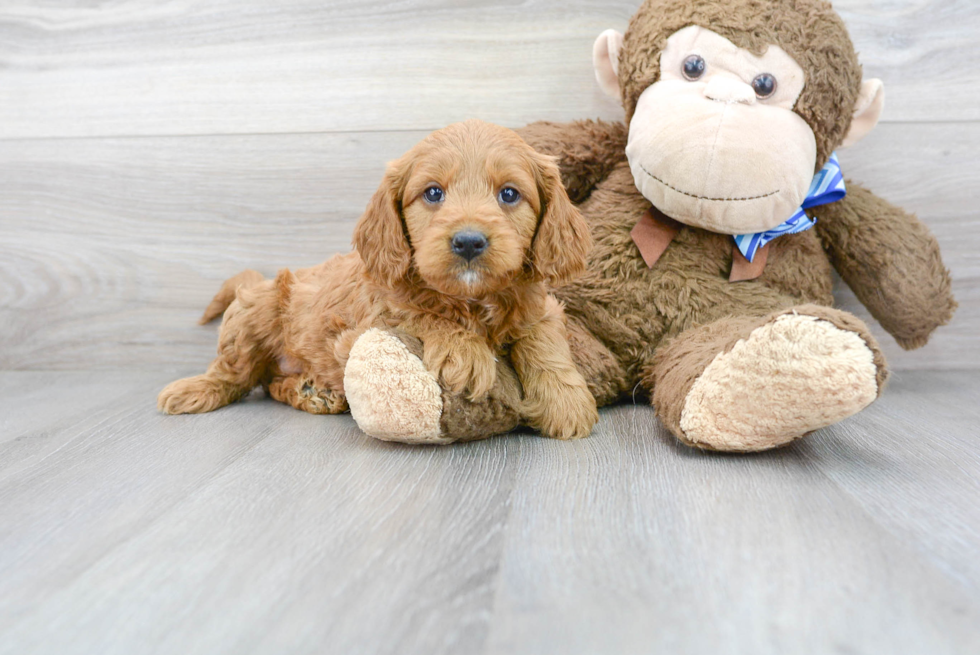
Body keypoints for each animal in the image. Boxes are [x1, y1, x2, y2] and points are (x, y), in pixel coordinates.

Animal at [158, 121, 600, 444]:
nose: (469, 242)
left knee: (268, 384)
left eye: (509, 194)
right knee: (235, 372)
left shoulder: (538, 303)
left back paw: (312, 392)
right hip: (254, 311)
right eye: (433, 193)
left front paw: (566, 400)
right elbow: (417, 311)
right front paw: (464, 349)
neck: (471, 299)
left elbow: (542, 336)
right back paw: (194, 390)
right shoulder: (363, 324)